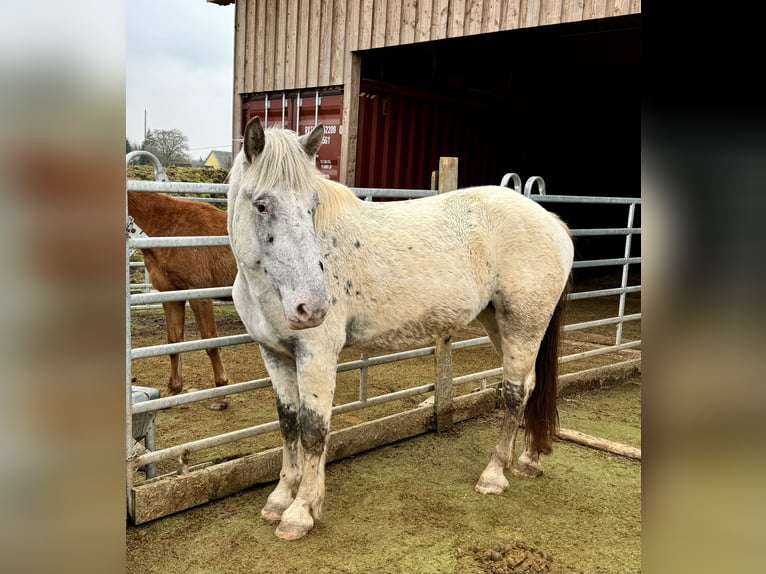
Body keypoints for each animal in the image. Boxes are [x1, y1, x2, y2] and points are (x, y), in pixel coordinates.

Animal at [129, 191, 237, 412]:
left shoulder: (199, 294)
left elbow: (210, 342)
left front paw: (221, 396)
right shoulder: (171, 295)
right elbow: (174, 342)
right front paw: (173, 390)